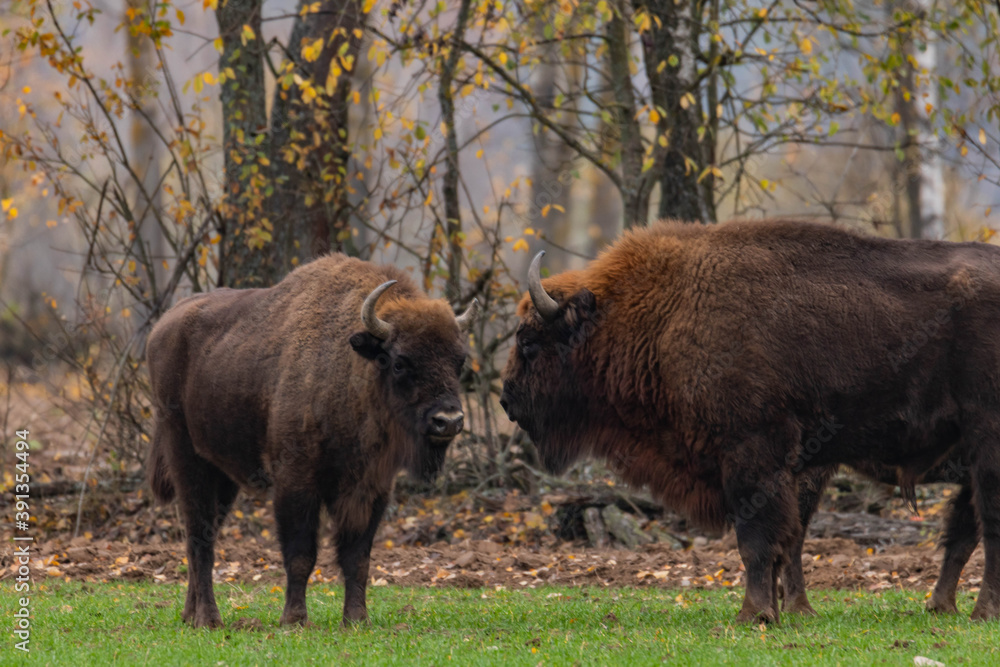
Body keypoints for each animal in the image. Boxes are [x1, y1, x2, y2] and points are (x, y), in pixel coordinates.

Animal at [145, 254, 480, 628]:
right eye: (399, 362)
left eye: (458, 360)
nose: (448, 420)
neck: (352, 370)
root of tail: (161, 329)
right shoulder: (297, 482)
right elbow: (301, 554)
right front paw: (294, 620)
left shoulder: (371, 489)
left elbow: (357, 557)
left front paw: (356, 620)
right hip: (187, 459)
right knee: (199, 537)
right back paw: (209, 619)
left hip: (223, 475)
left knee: (205, 535)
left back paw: (190, 615)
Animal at [504, 220, 1000, 628]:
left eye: (529, 342)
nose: (508, 400)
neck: (665, 312)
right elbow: (782, 539)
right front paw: (777, 612)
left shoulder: (751, 455)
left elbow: (756, 541)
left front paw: (754, 615)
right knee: (965, 530)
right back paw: (942, 608)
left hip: (985, 444)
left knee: (986, 524)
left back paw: (980, 612)